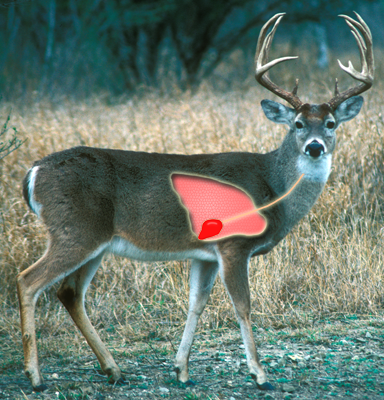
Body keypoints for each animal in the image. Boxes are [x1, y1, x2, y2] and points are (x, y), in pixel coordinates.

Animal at [17, 12, 372, 394]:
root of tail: (34, 172)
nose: (315, 147)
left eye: (331, 123)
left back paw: (113, 369)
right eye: (298, 124)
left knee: (69, 292)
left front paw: (181, 369)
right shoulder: (234, 244)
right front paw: (259, 374)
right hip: (75, 229)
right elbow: (243, 305)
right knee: (28, 280)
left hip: (94, 241)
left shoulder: (206, 254)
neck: (271, 187)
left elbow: (196, 303)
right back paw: (36, 376)